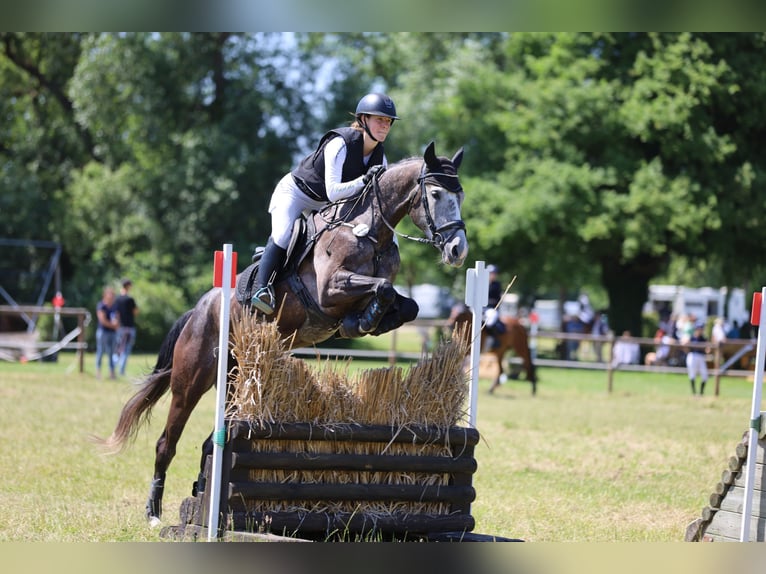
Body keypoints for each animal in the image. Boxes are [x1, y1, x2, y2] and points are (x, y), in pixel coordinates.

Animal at [93, 142, 469, 524]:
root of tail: (200, 309)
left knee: (214, 438)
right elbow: (383, 289)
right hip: (191, 382)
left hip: (233, 379)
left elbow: (406, 304)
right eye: (436, 194)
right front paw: (361, 320)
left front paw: (366, 320)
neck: (367, 231)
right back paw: (154, 512)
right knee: (166, 443)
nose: (458, 250)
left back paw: (202, 493)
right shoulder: (329, 290)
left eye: (461, 195)